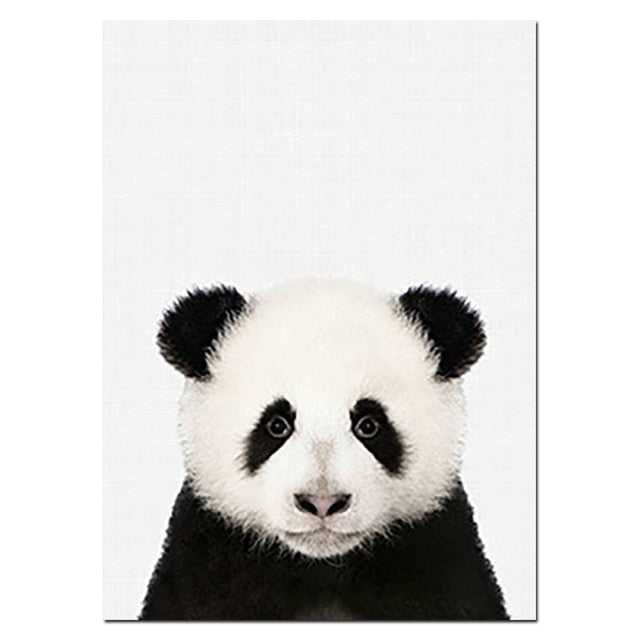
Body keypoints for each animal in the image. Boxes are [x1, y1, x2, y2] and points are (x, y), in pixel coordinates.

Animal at [140, 279, 508, 621]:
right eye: (277, 425)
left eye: (369, 425)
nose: (322, 502)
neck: (322, 567)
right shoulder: (205, 566)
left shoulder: (442, 562)